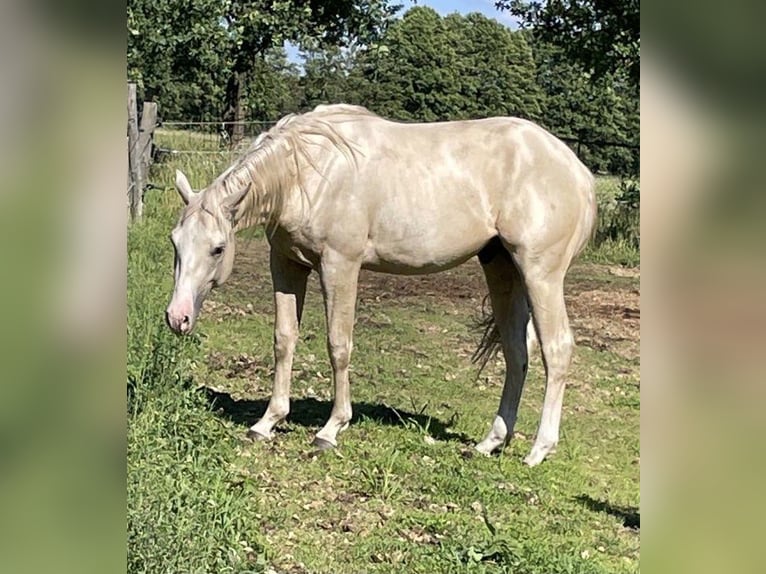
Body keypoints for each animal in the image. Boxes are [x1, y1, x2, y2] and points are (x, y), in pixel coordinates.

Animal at [166, 104, 600, 468]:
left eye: (218, 248)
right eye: (175, 241)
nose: (177, 317)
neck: (308, 173)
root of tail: (577, 170)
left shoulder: (340, 265)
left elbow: (338, 345)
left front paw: (331, 429)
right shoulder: (287, 266)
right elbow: (284, 339)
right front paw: (267, 422)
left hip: (541, 275)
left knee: (557, 350)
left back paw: (538, 450)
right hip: (503, 270)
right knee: (516, 354)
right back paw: (490, 442)